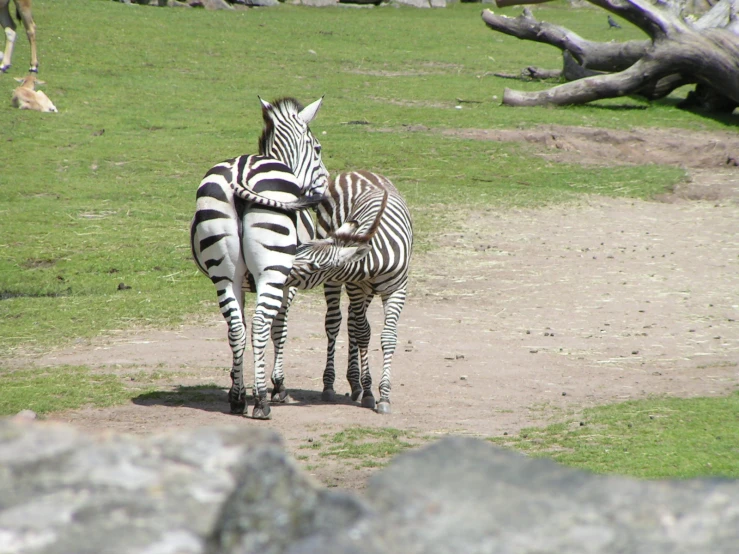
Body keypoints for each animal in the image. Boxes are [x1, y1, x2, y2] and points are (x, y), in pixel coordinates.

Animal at [189, 96, 328, 418]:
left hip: (223, 274)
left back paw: (238, 399)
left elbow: (238, 329)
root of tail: (240, 172)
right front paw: (278, 385)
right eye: (317, 149)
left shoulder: (240, 282)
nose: (326, 189)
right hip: (272, 271)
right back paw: (262, 401)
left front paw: (235, 382)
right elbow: (280, 329)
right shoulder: (289, 284)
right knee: (262, 324)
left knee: (236, 328)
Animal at [284, 170, 414, 412]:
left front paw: (383, 396)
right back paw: (330, 385)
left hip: (366, 290)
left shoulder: (397, 289)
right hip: (337, 282)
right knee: (335, 323)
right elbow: (363, 333)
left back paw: (355, 383)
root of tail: (356, 171)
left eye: (313, 266)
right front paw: (369, 391)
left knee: (353, 323)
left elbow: (387, 337)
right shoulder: (355, 286)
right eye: (300, 250)